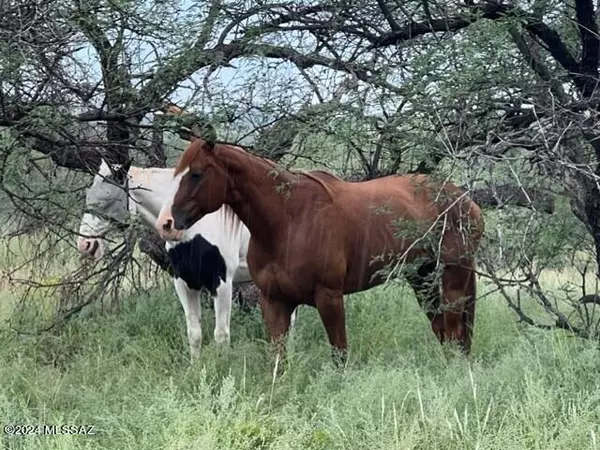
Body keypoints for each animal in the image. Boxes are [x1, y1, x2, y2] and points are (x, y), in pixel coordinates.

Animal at [77, 158, 298, 358]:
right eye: (88, 196)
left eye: (108, 199)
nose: (85, 245)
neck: (193, 226)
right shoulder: (185, 283)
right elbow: (194, 334)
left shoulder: (221, 284)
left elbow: (221, 335)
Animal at [157, 138, 486, 366]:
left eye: (197, 174)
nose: (166, 223)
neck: (288, 220)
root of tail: (464, 200)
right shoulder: (274, 301)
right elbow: (279, 359)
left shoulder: (329, 297)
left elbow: (339, 354)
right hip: (421, 277)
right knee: (442, 329)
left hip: (454, 276)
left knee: (454, 331)